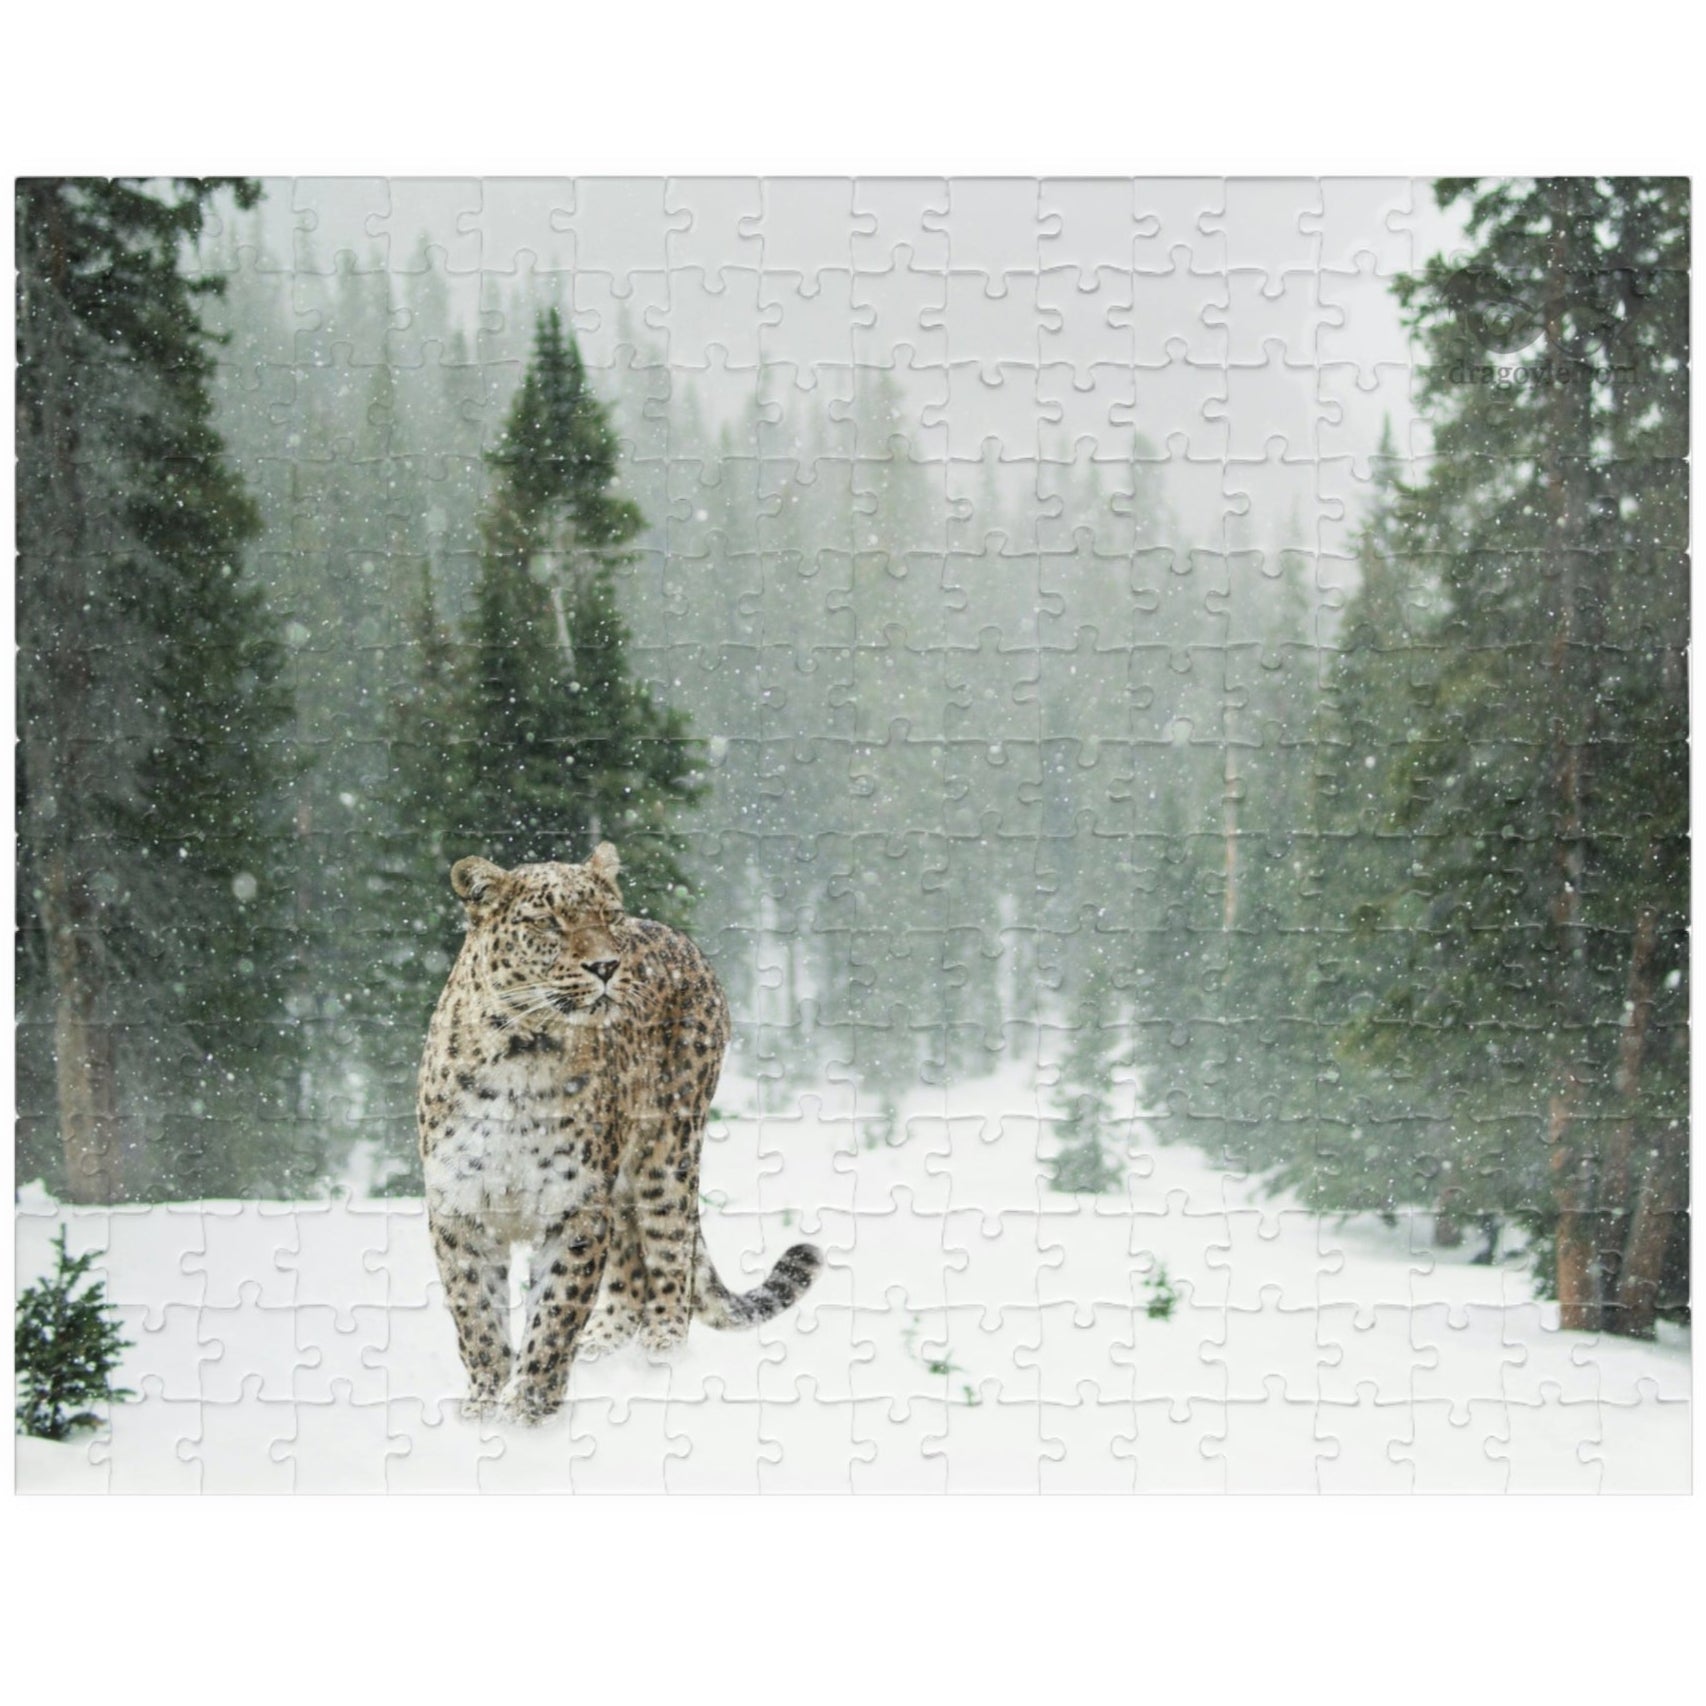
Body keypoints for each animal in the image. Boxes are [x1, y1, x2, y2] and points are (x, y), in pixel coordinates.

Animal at [416, 842, 822, 1424]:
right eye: (549, 923)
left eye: (608, 917)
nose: (606, 966)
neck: (523, 1054)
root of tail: (680, 937)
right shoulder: (461, 1209)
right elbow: (477, 1317)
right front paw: (483, 1406)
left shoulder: (577, 1207)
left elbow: (556, 1312)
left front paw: (528, 1411)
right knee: (631, 1265)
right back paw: (603, 1345)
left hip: (667, 1154)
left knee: (669, 1254)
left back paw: (660, 1352)